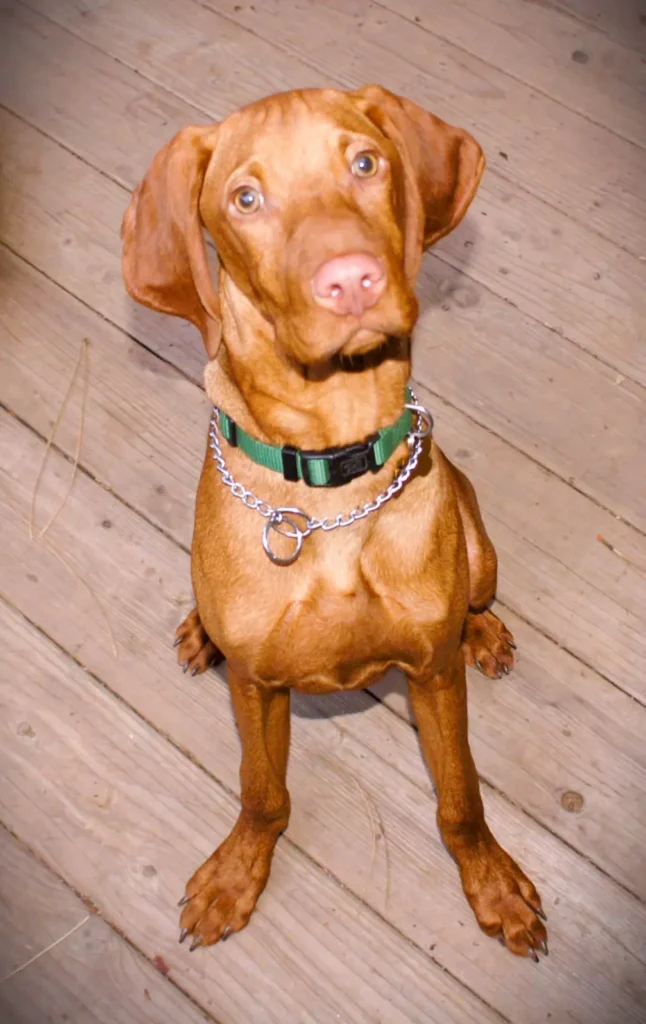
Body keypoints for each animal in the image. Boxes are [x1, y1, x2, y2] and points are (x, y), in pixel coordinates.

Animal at [121, 86, 544, 958]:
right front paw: (236, 874)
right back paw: (200, 630)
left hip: (478, 542)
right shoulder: (256, 686)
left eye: (366, 162)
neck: (327, 481)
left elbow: (461, 798)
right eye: (245, 199)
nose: (352, 281)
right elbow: (262, 792)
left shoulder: (432, 674)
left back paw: (485, 629)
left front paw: (491, 884)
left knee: (478, 592)